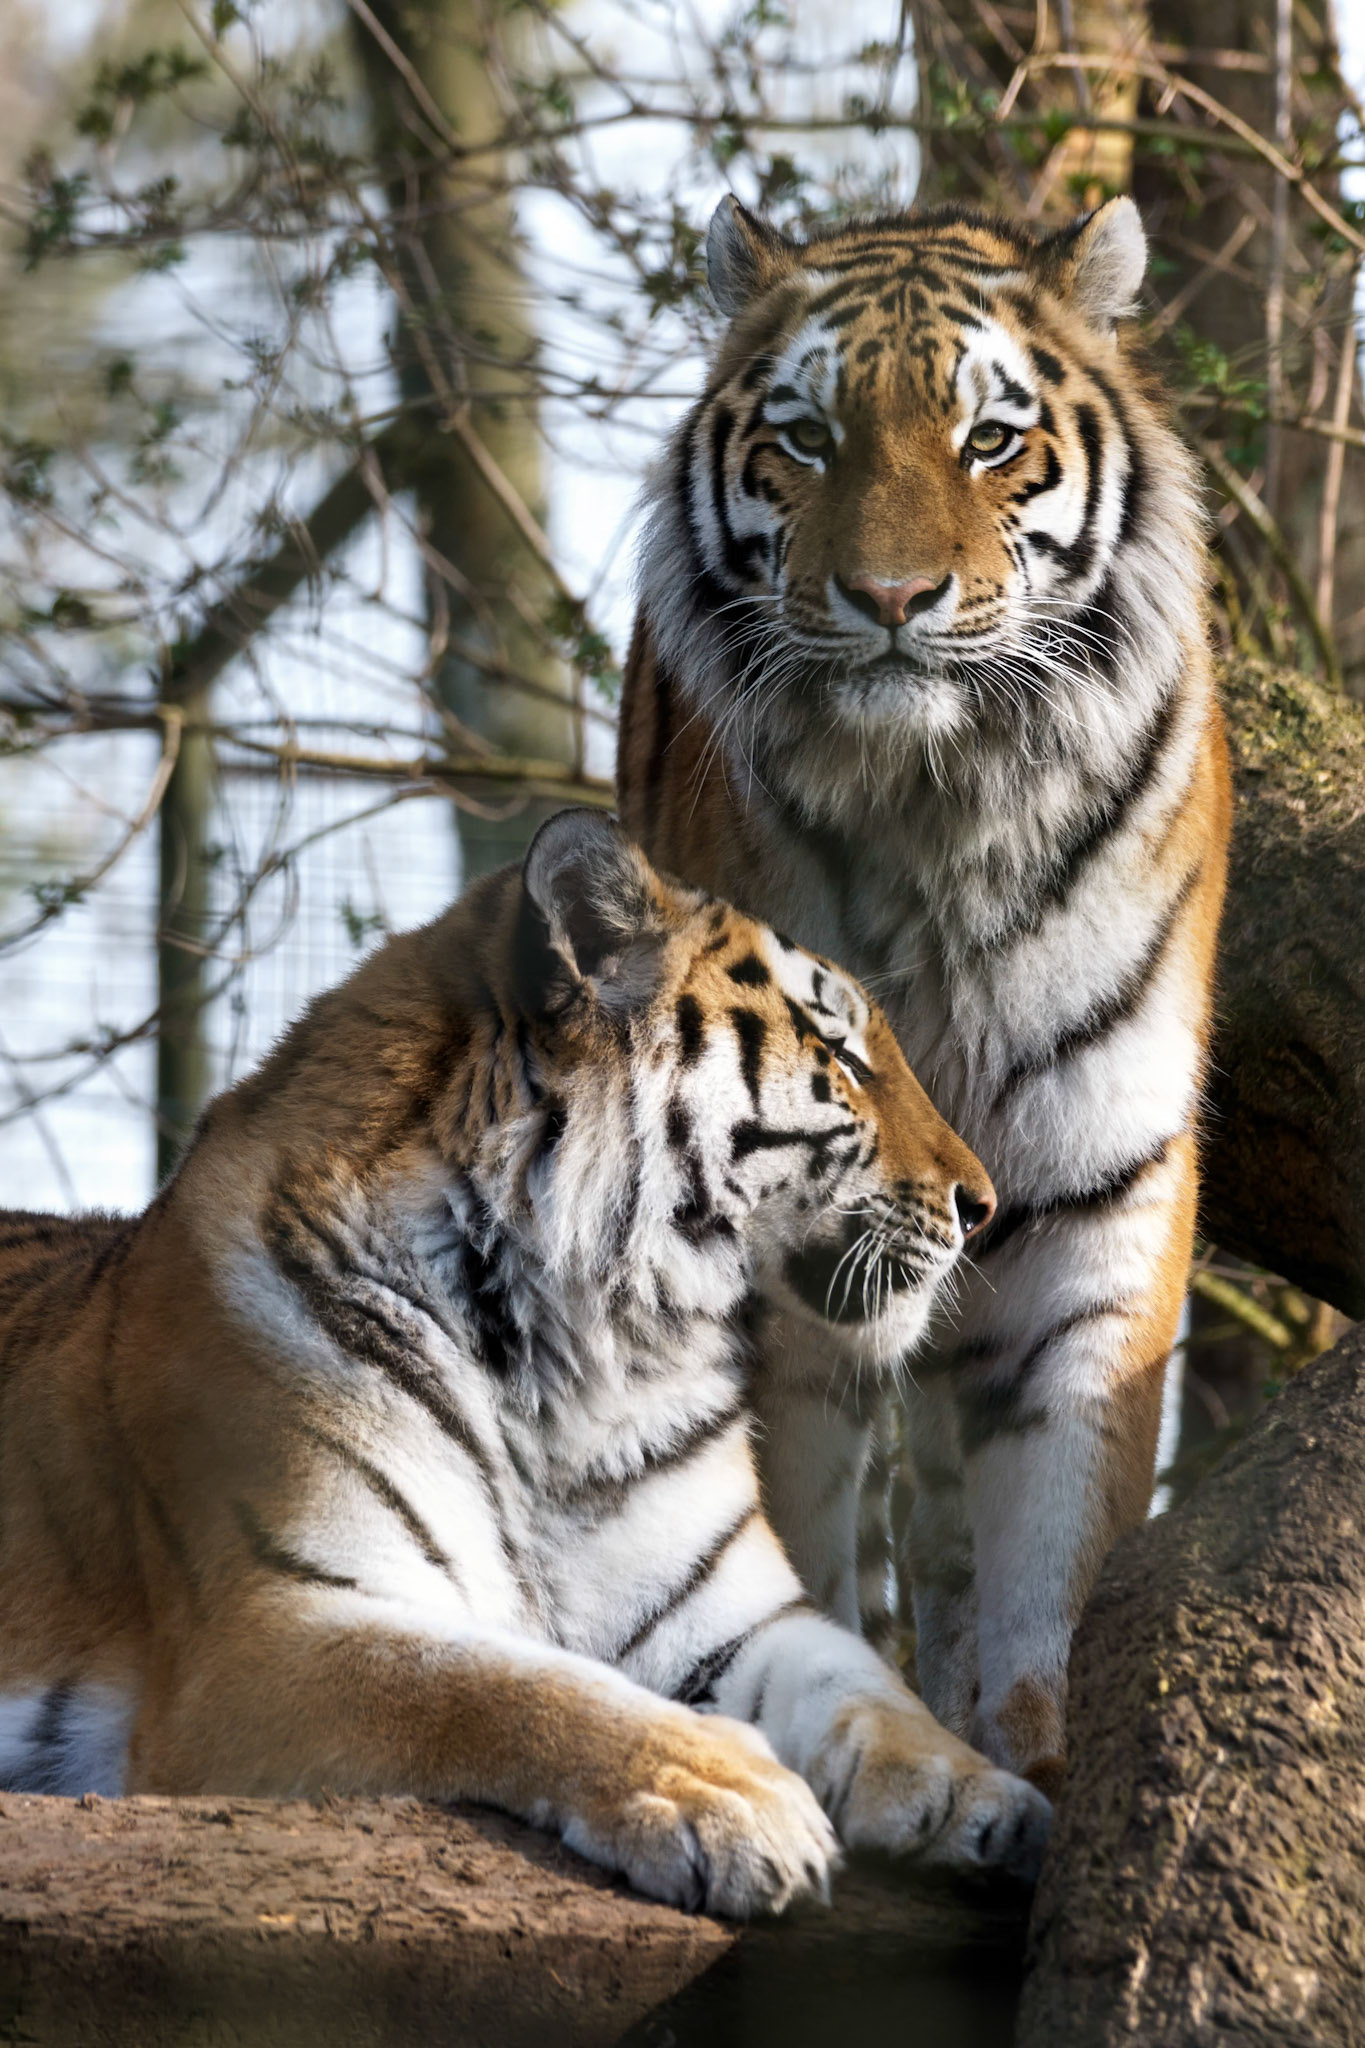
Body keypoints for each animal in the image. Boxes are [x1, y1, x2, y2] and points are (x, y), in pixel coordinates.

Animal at [0, 809, 1050, 1913]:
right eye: (838, 1051)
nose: (983, 1205)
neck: (589, 1359)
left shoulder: (738, 1617)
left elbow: (861, 1682)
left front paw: (983, 1795)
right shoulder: (267, 1631)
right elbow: (498, 1682)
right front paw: (730, 1789)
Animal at [618, 196, 1231, 1797]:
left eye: (990, 441)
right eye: (808, 438)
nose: (890, 599)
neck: (934, 792)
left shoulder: (1093, 1180)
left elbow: (1052, 1517)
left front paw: (1034, 1738)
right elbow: (771, 1527)